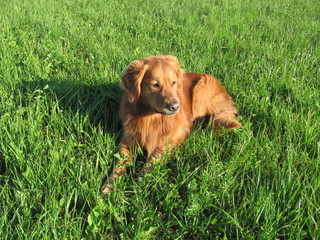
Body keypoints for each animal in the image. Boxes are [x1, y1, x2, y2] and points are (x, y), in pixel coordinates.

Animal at [101, 55, 241, 194]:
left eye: (173, 82)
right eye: (155, 84)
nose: (175, 107)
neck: (151, 118)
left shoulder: (175, 137)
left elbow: (156, 156)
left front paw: (142, 177)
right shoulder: (127, 139)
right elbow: (120, 162)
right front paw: (110, 184)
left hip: (202, 88)